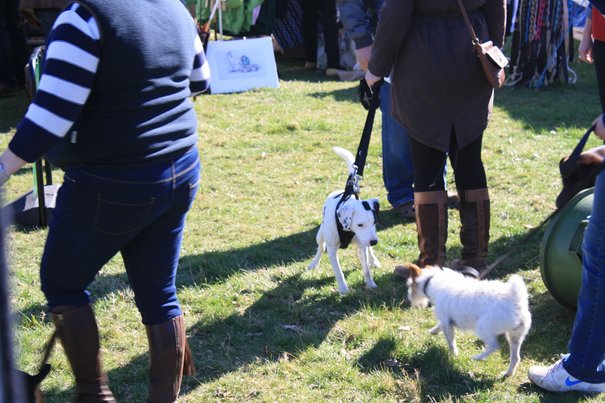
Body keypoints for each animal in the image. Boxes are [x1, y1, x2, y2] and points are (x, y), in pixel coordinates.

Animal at [310, 148, 380, 294]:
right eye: (360, 225)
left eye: (375, 222)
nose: (374, 242)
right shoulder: (332, 250)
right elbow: (338, 272)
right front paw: (343, 289)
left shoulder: (363, 243)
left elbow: (366, 268)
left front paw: (370, 283)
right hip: (320, 234)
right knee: (321, 247)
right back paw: (313, 263)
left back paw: (374, 260)